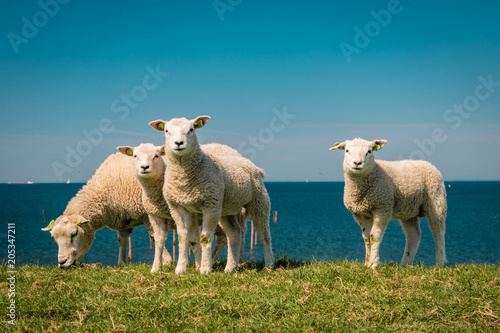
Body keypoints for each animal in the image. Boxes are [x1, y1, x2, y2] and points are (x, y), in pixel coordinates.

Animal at [41, 152, 174, 268]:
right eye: (54, 238)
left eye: (74, 234)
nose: (62, 263)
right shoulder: (124, 220)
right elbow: (121, 241)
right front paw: (121, 264)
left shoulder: (147, 214)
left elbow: (154, 236)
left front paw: (167, 262)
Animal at [115, 143, 248, 272]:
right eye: (135, 156)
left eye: (156, 156)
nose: (144, 167)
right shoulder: (154, 215)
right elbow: (158, 241)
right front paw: (156, 268)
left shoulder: (192, 215)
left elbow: (193, 240)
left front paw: (198, 266)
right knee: (227, 234)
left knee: (239, 233)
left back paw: (237, 262)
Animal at [149, 115, 274, 274]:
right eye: (166, 131)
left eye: (191, 129)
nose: (178, 143)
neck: (184, 178)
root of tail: (252, 165)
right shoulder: (177, 206)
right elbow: (182, 236)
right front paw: (180, 269)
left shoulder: (210, 204)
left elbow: (205, 238)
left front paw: (205, 269)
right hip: (227, 209)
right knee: (234, 234)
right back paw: (230, 268)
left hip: (258, 201)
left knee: (264, 234)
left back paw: (269, 264)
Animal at [330, 137, 448, 268]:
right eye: (347, 151)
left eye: (369, 151)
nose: (357, 163)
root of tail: (428, 163)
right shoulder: (360, 213)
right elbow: (366, 237)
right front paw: (367, 263)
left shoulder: (382, 208)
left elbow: (374, 236)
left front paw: (374, 264)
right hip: (408, 211)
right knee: (414, 235)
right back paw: (405, 263)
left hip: (437, 201)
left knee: (439, 233)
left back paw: (440, 263)